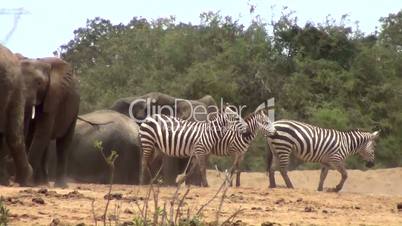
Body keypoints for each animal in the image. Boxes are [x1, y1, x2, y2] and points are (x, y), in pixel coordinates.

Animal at [20, 57, 79, 187]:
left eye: (39, 83)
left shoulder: (53, 97)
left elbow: (41, 132)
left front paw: (28, 183)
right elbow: (34, 135)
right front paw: (32, 183)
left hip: (75, 109)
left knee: (63, 145)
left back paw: (60, 185)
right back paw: (43, 183)